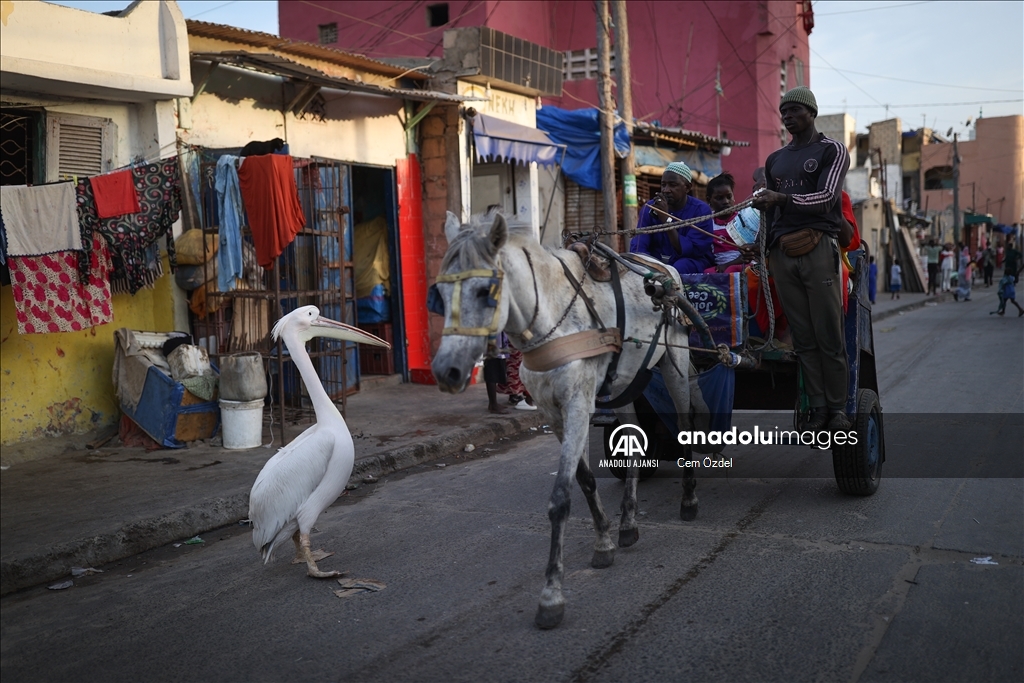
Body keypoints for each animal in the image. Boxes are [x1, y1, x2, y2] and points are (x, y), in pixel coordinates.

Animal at [428, 209, 692, 630]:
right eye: (439, 291)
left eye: (486, 292)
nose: (446, 372)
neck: (551, 320)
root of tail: (660, 266)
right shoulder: (553, 413)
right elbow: (584, 480)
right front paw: (605, 540)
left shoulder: (579, 405)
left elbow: (561, 497)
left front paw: (552, 594)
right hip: (624, 383)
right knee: (633, 445)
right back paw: (629, 523)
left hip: (675, 362)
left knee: (685, 427)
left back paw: (689, 500)